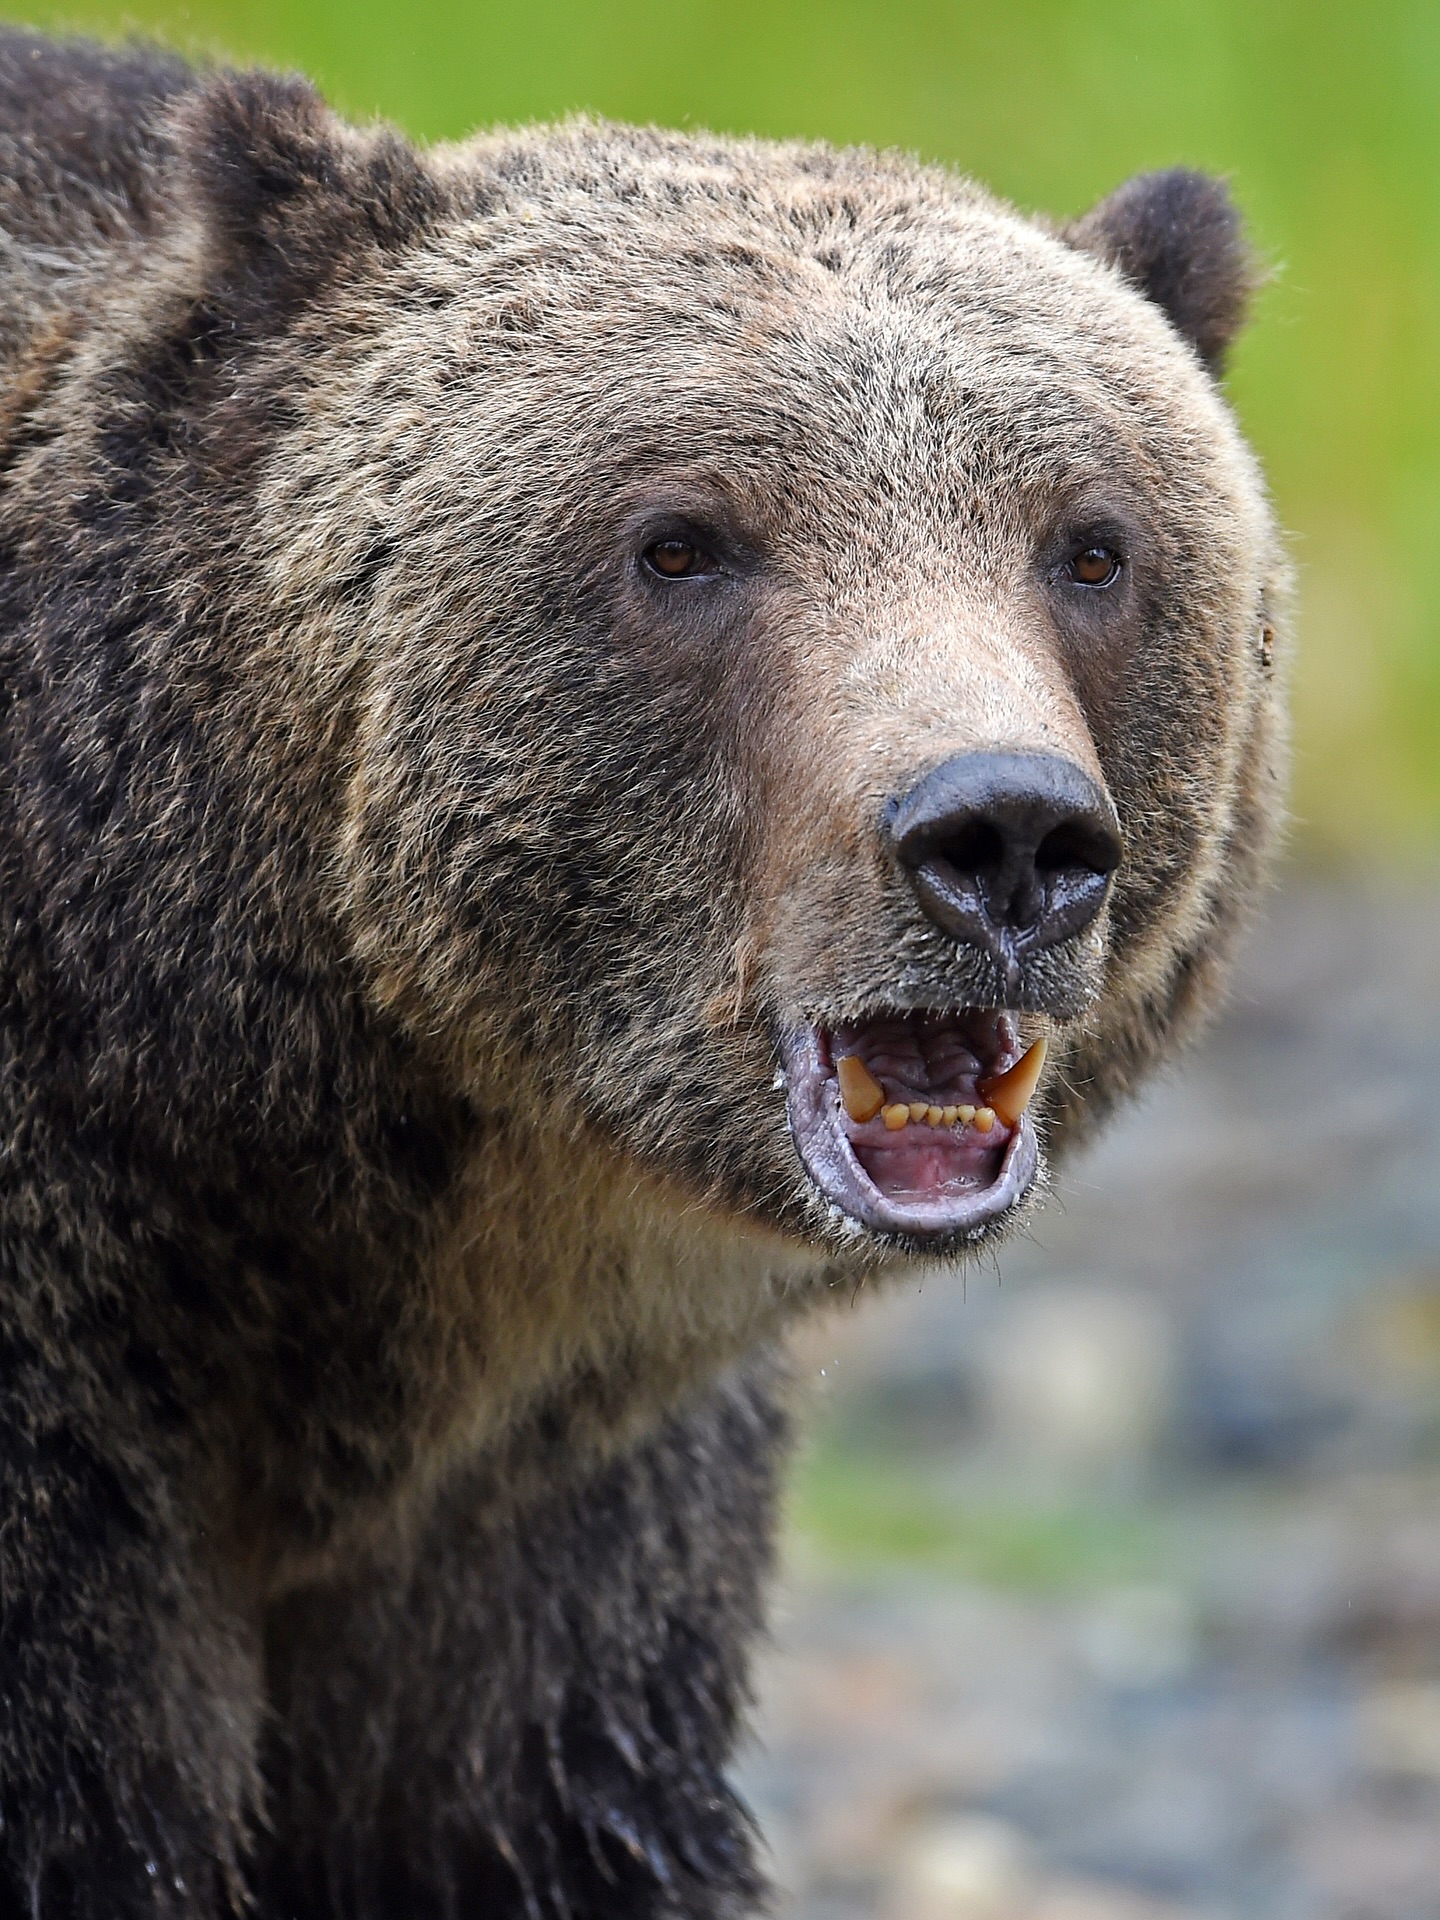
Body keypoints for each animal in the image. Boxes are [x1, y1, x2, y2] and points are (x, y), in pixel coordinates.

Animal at [0, 26, 1288, 1919]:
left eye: (1092, 542)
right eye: (681, 540)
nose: (1003, 835)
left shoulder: (563, 1522)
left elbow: (530, 1806)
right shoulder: (68, 1414)